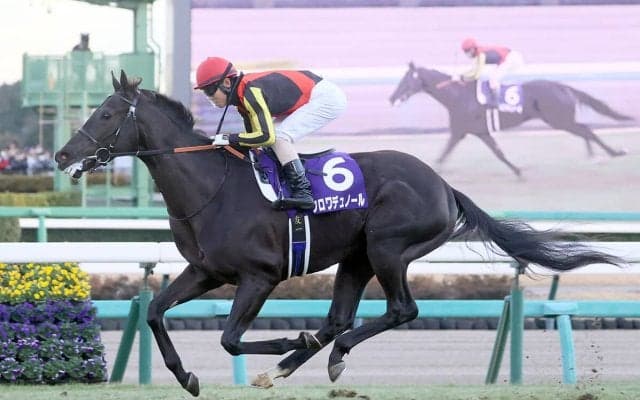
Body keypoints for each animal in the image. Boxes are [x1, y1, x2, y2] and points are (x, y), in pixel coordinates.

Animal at [54, 71, 623, 397]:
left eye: (106, 113)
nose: (62, 155)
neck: (210, 186)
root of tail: (444, 185)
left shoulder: (259, 276)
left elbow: (231, 338)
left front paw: (284, 340)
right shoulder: (206, 271)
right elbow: (154, 311)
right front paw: (186, 377)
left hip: (389, 248)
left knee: (399, 311)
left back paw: (321, 355)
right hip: (357, 257)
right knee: (338, 318)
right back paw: (293, 364)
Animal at [389, 62, 634, 177]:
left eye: (405, 80)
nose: (391, 98)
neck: (458, 96)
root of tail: (562, 86)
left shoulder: (459, 132)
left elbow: (443, 155)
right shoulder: (478, 132)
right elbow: (498, 153)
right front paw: (518, 171)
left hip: (559, 120)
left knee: (586, 129)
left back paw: (612, 153)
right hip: (561, 120)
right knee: (585, 130)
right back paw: (598, 156)